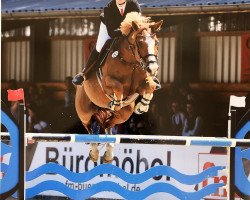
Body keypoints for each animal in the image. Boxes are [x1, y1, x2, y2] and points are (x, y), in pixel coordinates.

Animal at [75, 12, 163, 162]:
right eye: (140, 42)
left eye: (156, 42)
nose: (153, 68)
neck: (130, 62)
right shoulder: (107, 82)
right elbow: (117, 86)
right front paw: (116, 102)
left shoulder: (140, 85)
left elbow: (150, 86)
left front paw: (142, 106)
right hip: (84, 112)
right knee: (89, 127)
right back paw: (94, 152)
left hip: (124, 114)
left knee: (107, 124)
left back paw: (108, 153)